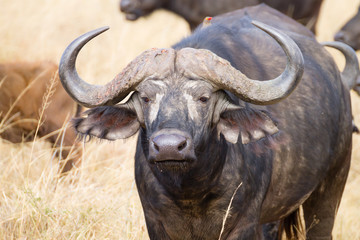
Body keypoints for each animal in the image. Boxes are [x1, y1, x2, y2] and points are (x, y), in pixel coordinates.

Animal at [59, 3, 358, 240]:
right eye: (145, 98)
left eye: (203, 98)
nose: (169, 147)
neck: (190, 190)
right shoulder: (155, 222)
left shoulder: (245, 224)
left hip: (330, 187)